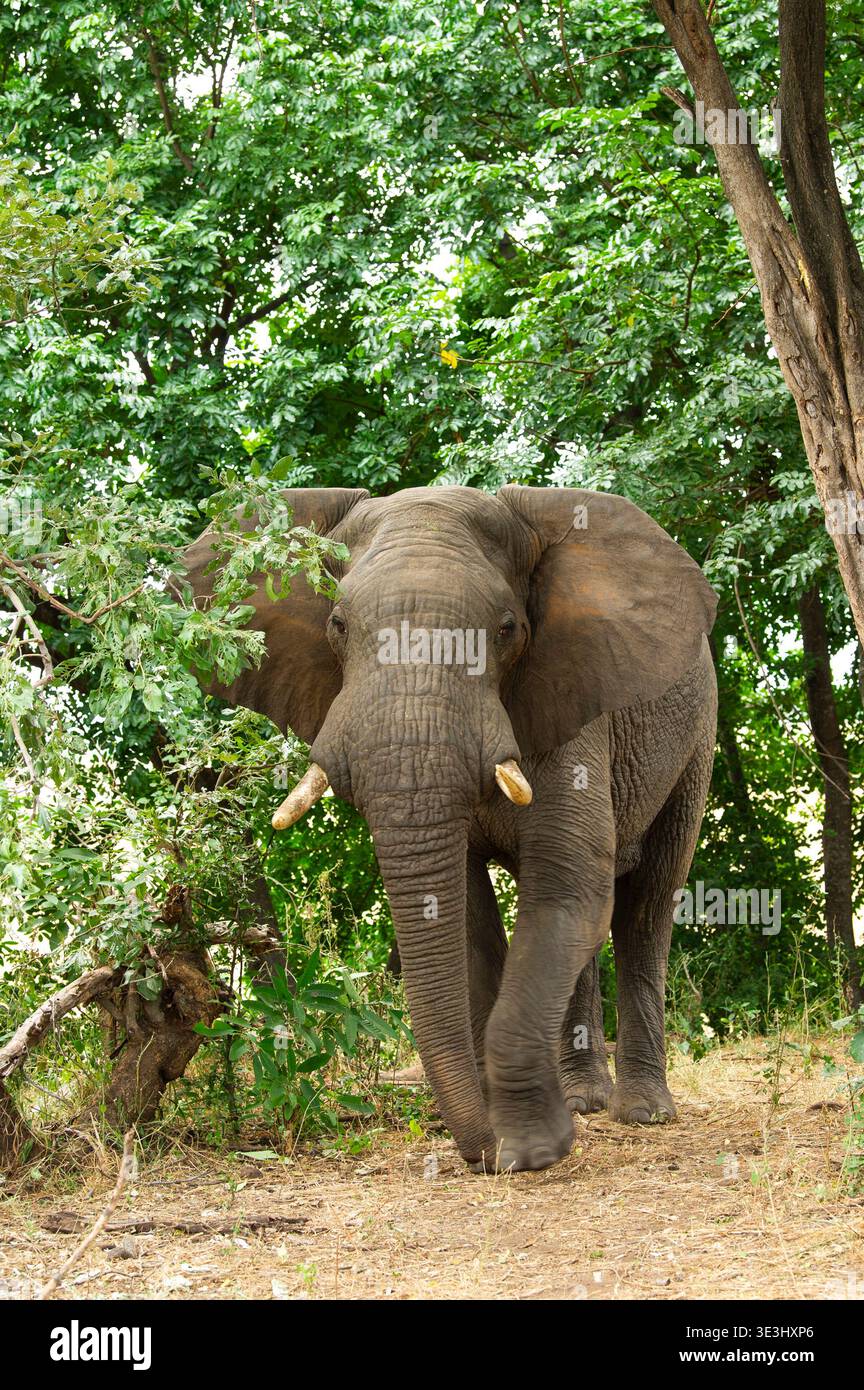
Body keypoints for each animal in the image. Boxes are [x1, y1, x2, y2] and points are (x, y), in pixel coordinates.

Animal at [185, 485, 718, 1173]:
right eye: (337, 625)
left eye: (508, 629)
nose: (488, 1151)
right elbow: (471, 915)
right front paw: (517, 1138)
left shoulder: (573, 704)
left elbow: (569, 882)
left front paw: (532, 1147)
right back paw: (583, 1101)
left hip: (697, 735)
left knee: (647, 904)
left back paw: (644, 1112)